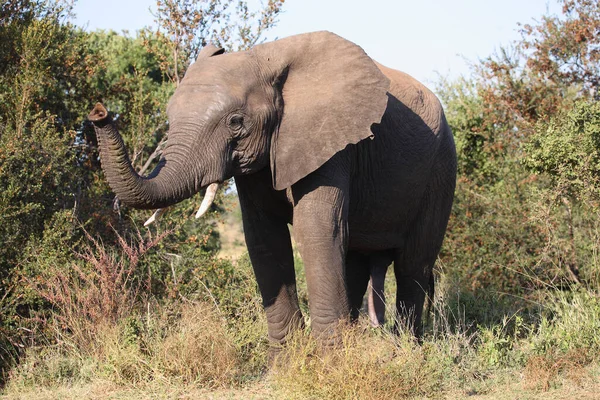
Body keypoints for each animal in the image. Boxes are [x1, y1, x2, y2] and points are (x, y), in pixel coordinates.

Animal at [88, 31, 454, 344]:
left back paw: (405, 350)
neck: (265, 60)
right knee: (356, 262)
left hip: (440, 169)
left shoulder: (331, 141)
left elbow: (317, 230)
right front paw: (286, 364)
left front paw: (329, 365)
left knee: (413, 264)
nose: (98, 112)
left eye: (236, 122)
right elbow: (264, 238)